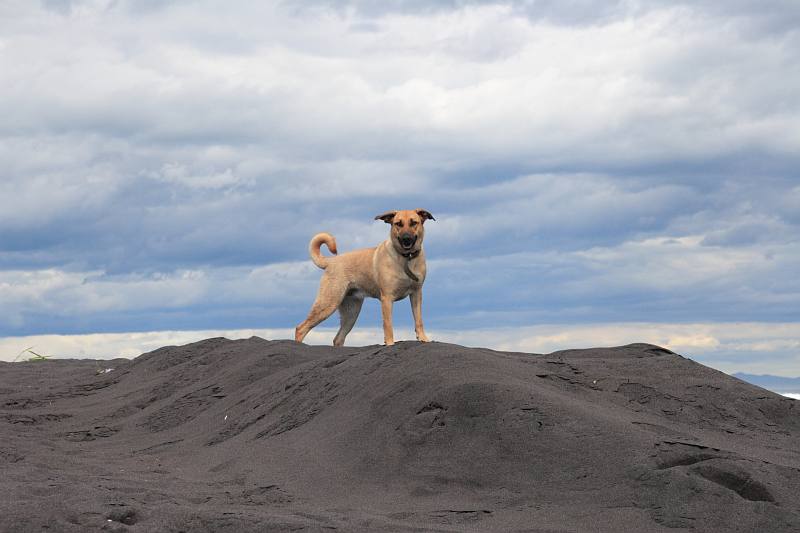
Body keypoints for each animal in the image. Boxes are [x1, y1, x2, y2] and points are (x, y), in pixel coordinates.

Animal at [294, 210, 434, 348]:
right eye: (398, 224)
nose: (406, 239)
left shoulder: (416, 294)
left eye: (414, 223)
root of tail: (331, 261)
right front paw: (389, 343)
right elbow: (388, 325)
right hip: (328, 302)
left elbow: (419, 320)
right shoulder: (387, 298)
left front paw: (423, 338)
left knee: (338, 338)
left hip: (351, 312)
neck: (406, 258)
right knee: (301, 328)